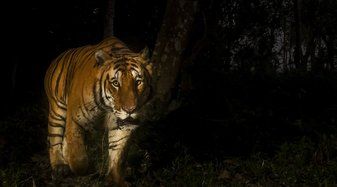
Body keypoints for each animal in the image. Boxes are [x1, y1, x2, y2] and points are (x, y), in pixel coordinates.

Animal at [44, 36, 152, 186]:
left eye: (138, 81)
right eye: (116, 83)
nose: (130, 110)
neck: (108, 108)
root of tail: (58, 58)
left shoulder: (124, 126)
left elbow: (117, 155)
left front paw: (116, 180)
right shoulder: (75, 119)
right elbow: (79, 159)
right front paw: (85, 169)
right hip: (57, 110)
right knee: (53, 138)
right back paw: (60, 166)